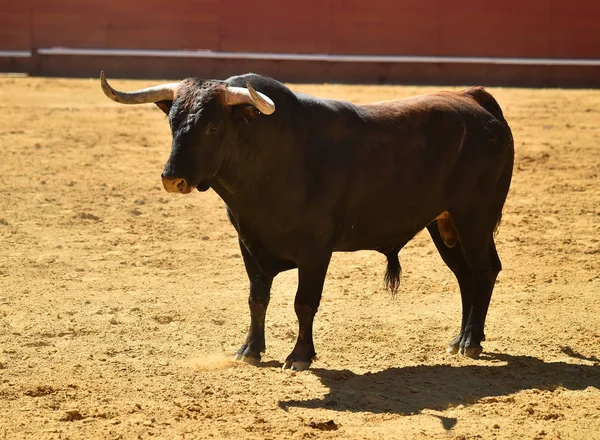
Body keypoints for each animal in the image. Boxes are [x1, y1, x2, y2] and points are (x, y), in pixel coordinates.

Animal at [101, 72, 512, 372]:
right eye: (172, 122)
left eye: (214, 127)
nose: (173, 178)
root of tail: (474, 99)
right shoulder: (248, 242)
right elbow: (257, 298)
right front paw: (250, 350)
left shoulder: (316, 248)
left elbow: (304, 302)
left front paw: (299, 356)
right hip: (444, 224)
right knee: (465, 275)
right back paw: (460, 340)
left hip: (473, 218)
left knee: (484, 270)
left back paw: (471, 342)